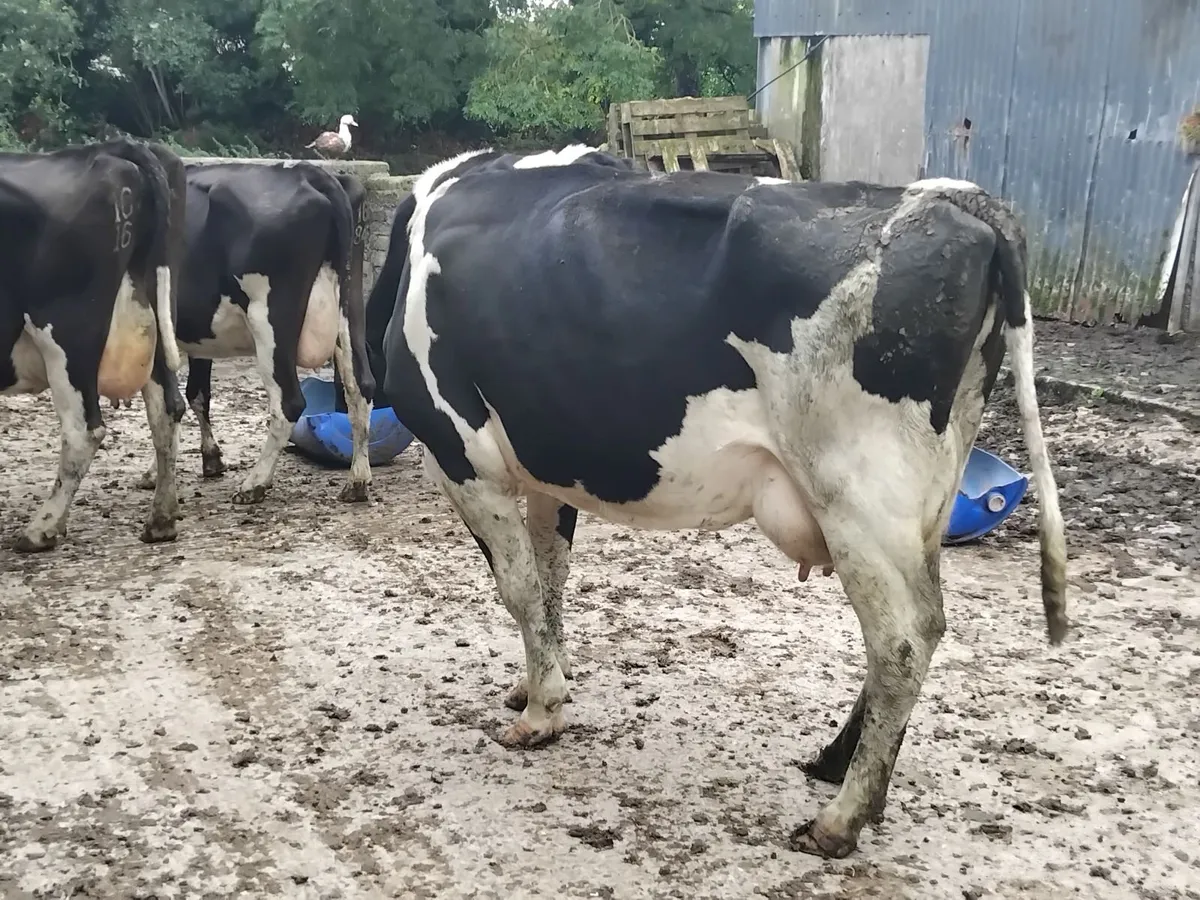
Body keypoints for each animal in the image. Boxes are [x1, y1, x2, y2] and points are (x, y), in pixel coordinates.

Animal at [1, 138, 187, 552]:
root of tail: (114, 147)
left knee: (83, 430)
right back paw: (160, 520)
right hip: (154, 315)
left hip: (66, 334)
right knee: (167, 410)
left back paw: (41, 529)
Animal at [138, 162, 376, 504]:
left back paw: (255, 483)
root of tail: (309, 173)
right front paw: (208, 459)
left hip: (270, 318)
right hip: (351, 309)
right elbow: (196, 394)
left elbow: (166, 405)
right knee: (360, 388)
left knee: (289, 402)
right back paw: (357, 480)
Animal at [366, 145, 1069, 859]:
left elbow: (517, 587)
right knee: (913, 629)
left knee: (902, 639)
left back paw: (841, 817)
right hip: (927, 494)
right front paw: (535, 683)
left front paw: (540, 714)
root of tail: (955, 200)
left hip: (858, 494)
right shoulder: (542, 470)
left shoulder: (463, 458)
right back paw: (836, 761)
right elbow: (550, 578)